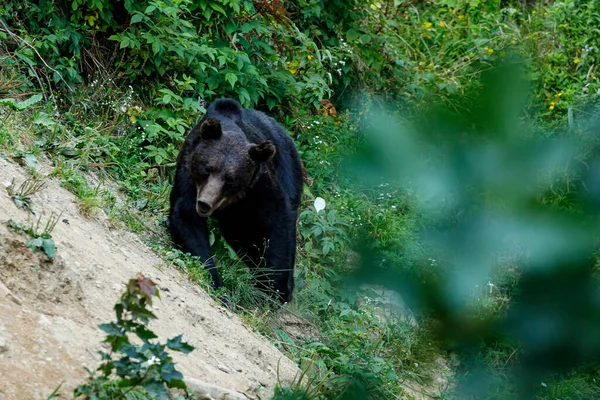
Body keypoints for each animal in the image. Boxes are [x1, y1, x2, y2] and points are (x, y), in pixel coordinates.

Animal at [168, 97, 304, 304]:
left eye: (230, 179)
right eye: (207, 168)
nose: (204, 203)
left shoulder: (259, 186)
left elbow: (276, 224)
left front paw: (274, 288)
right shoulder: (188, 171)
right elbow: (186, 217)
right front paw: (218, 283)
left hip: (289, 171)